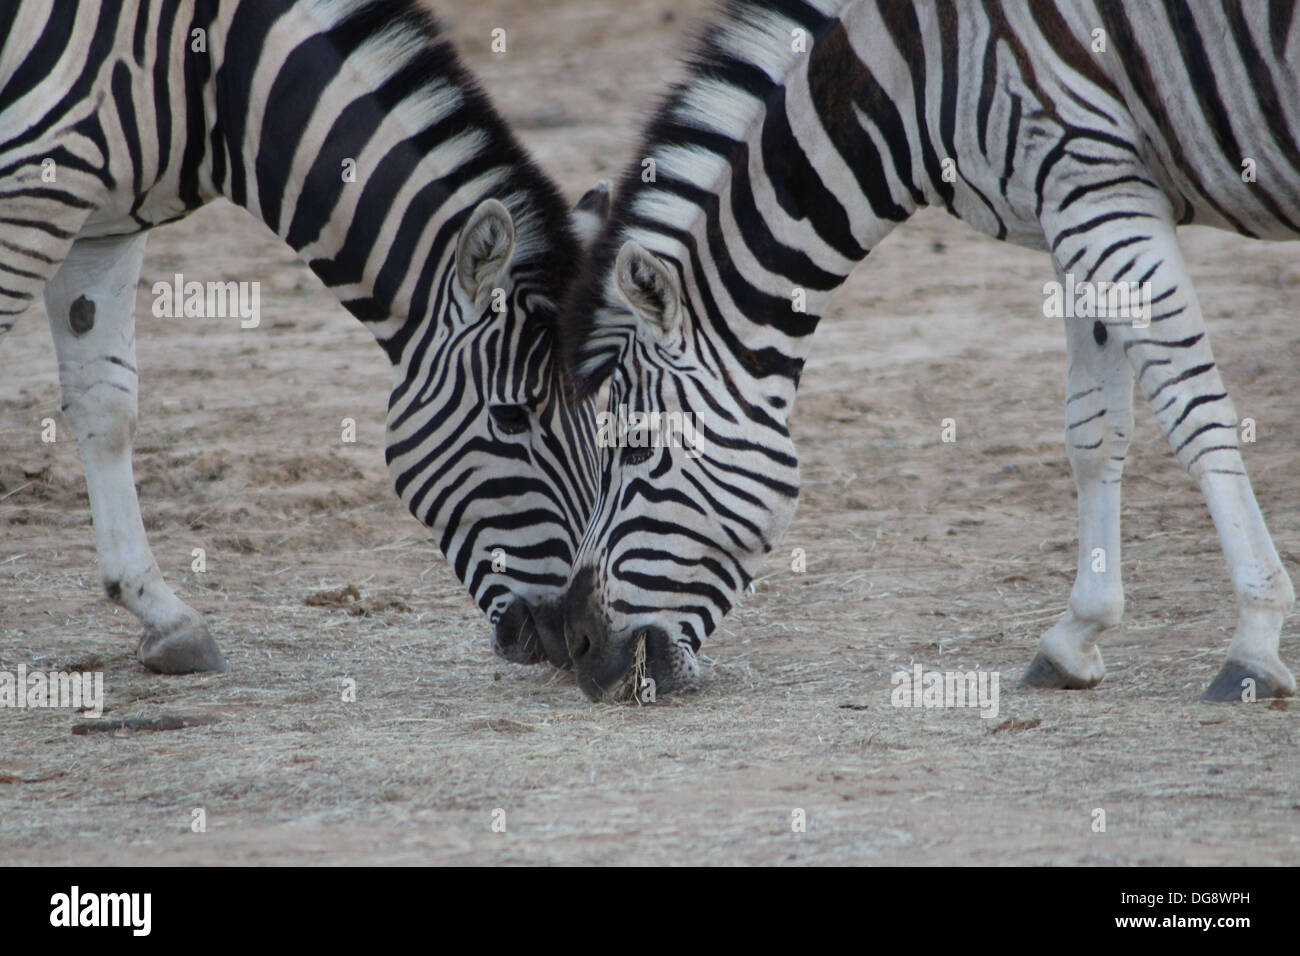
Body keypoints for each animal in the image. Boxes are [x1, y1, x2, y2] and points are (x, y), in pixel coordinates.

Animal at [0, 0, 604, 674]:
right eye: (510, 416)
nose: (569, 637)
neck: (212, 78)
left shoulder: (103, 227)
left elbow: (107, 407)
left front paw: (162, 614)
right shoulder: (33, 190)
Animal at [558, 0, 1300, 702]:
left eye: (636, 447)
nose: (580, 651)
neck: (910, 79)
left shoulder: (1097, 183)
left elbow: (1192, 410)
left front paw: (1254, 641)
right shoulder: (1069, 209)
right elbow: (1094, 429)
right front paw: (1076, 635)